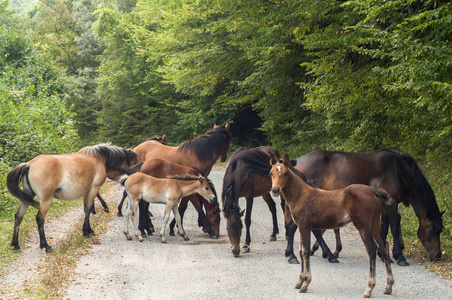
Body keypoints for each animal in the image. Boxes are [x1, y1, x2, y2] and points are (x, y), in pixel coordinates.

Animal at [6, 144, 137, 252]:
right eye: (134, 162)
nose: (129, 180)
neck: (99, 158)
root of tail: (29, 165)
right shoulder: (94, 188)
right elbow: (88, 209)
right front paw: (87, 231)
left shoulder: (86, 191)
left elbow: (86, 210)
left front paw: (88, 230)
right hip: (45, 200)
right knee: (40, 219)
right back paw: (46, 246)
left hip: (27, 198)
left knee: (18, 216)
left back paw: (15, 244)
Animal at [270, 155, 394, 298]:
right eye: (271, 173)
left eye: (285, 173)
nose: (275, 190)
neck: (301, 195)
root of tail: (374, 191)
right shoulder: (301, 227)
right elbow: (301, 252)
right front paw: (299, 281)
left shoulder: (305, 226)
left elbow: (305, 252)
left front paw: (305, 283)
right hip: (375, 223)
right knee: (384, 246)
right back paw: (388, 286)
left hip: (363, 226)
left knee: (372, 249)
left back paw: (369, 289)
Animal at [284, 149, 444, 266]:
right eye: (431, 230)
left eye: (440, 231)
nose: (437, 255)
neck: (399, 170)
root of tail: (296, 162)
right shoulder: (391, 202)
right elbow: (393, 227)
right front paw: (399, 256)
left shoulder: (383, 205)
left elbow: (383, 228)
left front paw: (383, 253)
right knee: (297, 226)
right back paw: (303, 255)